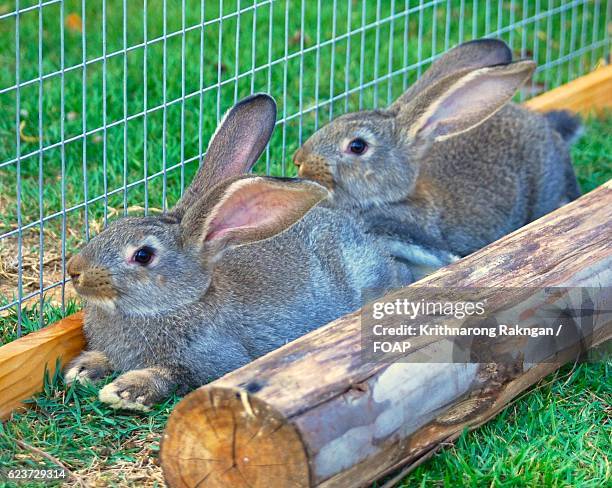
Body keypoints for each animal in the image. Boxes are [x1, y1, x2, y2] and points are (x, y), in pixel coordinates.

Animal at [64, 93, 412, 410]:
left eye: (143, 256)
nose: (74, 270)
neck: (175, 304)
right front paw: (82, 369)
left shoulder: (214, 361)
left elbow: (173, 375)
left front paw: (124, 391)